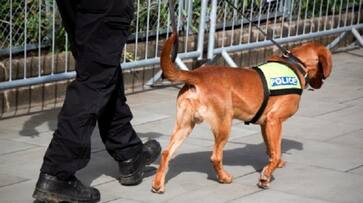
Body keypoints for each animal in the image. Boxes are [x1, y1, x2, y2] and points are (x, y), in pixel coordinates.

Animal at [152, 32, 334, 193]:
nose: (320, 85)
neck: (295, 65)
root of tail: (196, 75)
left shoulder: (266, 124)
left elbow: (271, 149)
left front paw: (272, 165)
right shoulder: (274, 120)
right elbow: (275, 153)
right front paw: (266, 177)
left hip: (185, 126)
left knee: (166, 153)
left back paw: (158, 183)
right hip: (224, 125)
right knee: (215, 157)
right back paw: (224, 178)